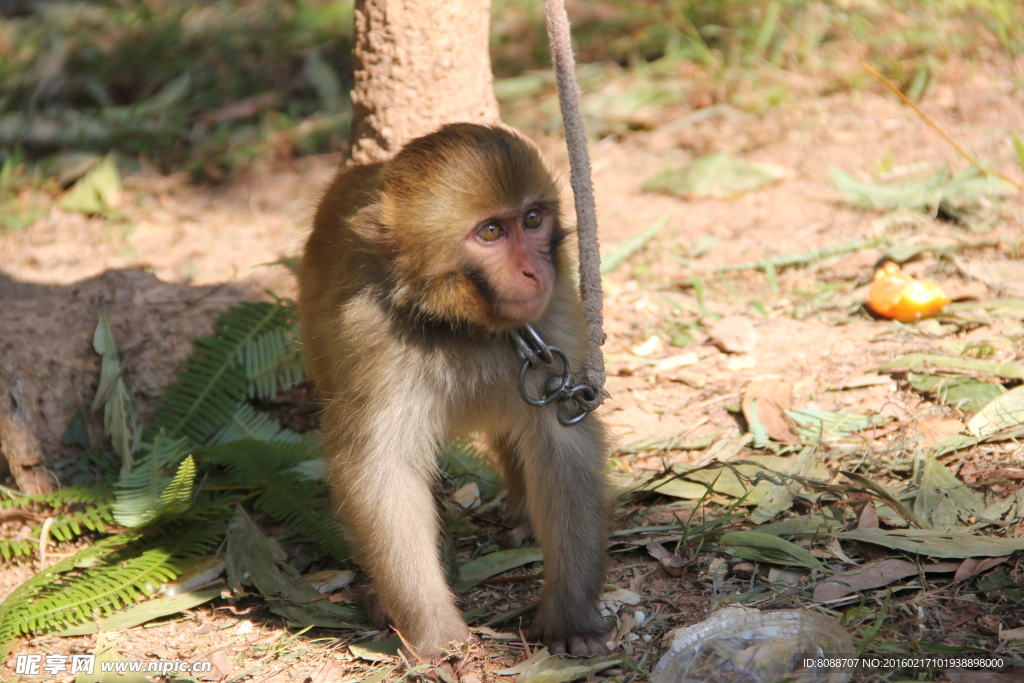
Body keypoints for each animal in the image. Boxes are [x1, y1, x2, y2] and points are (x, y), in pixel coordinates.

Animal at [299, 121, 610, 663]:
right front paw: (433, 631)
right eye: (490, 232)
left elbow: (563, 443)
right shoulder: (375, 336)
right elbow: (379, 469)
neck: (464, 327)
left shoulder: (551, 319)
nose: (534, 271)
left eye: (532, 219)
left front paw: (571, 616)